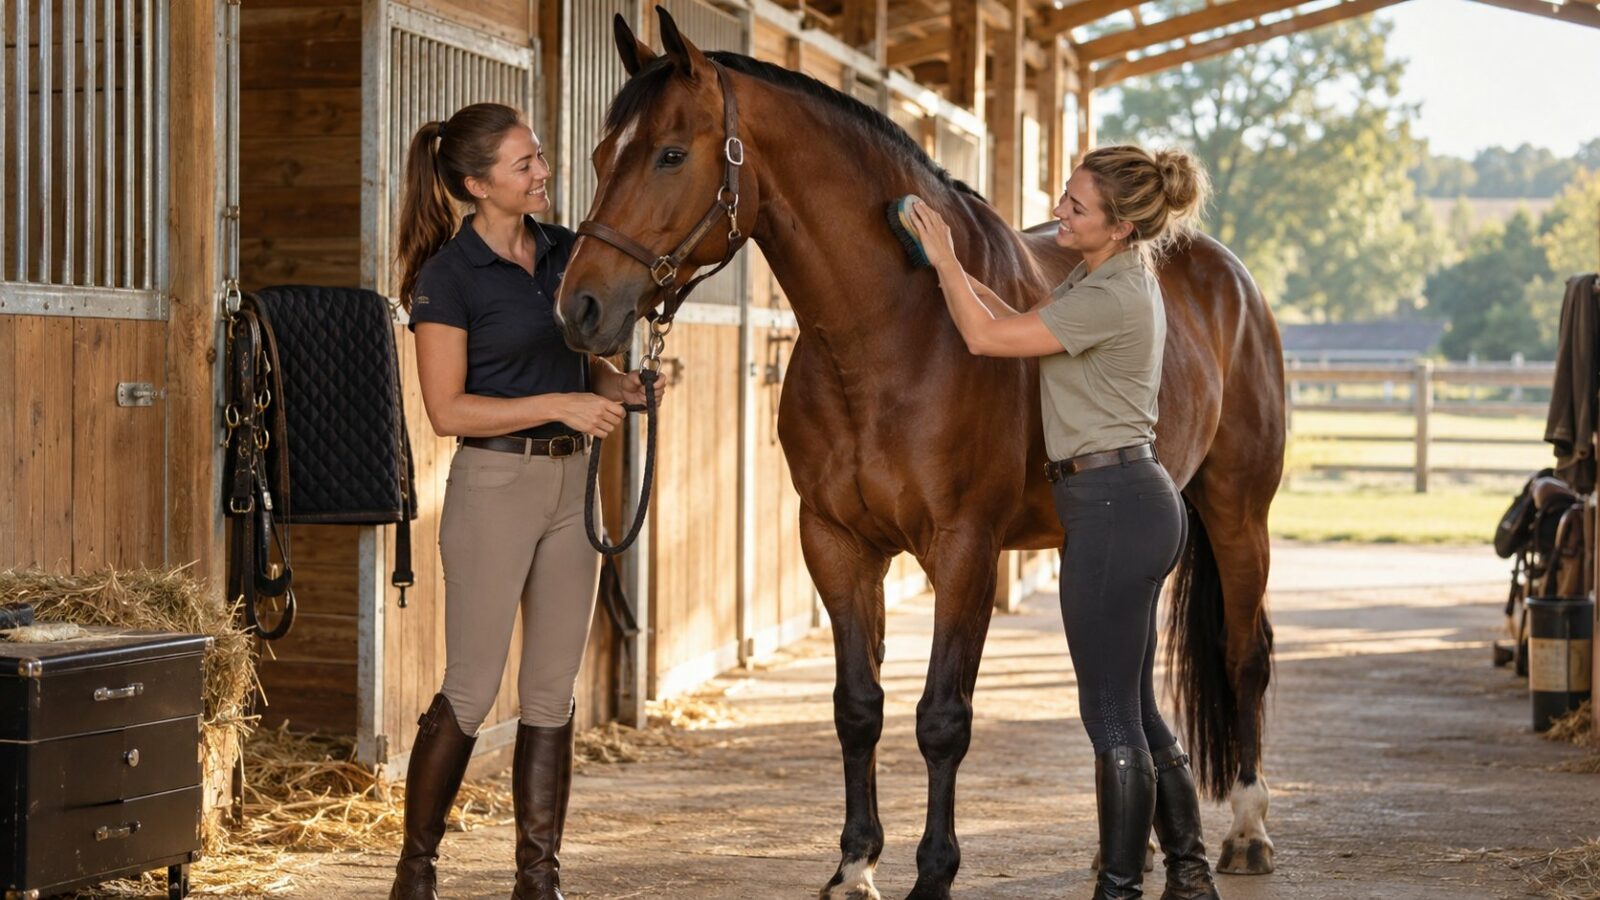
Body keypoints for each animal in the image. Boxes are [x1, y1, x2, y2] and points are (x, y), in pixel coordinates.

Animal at [554, 9, 1285, 898]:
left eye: (668, 154)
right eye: (600, 156)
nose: (581, 307)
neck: (896, 329)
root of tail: (1222, 270)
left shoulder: (965, 549)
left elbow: (942, 718)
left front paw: (933, 872)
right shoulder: (836, 544)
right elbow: (857, 706)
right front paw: (853, 866)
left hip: (1238, 513)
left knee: (1243, 656)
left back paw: (1247, 831)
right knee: (1125, 686)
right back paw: (1132, 849)